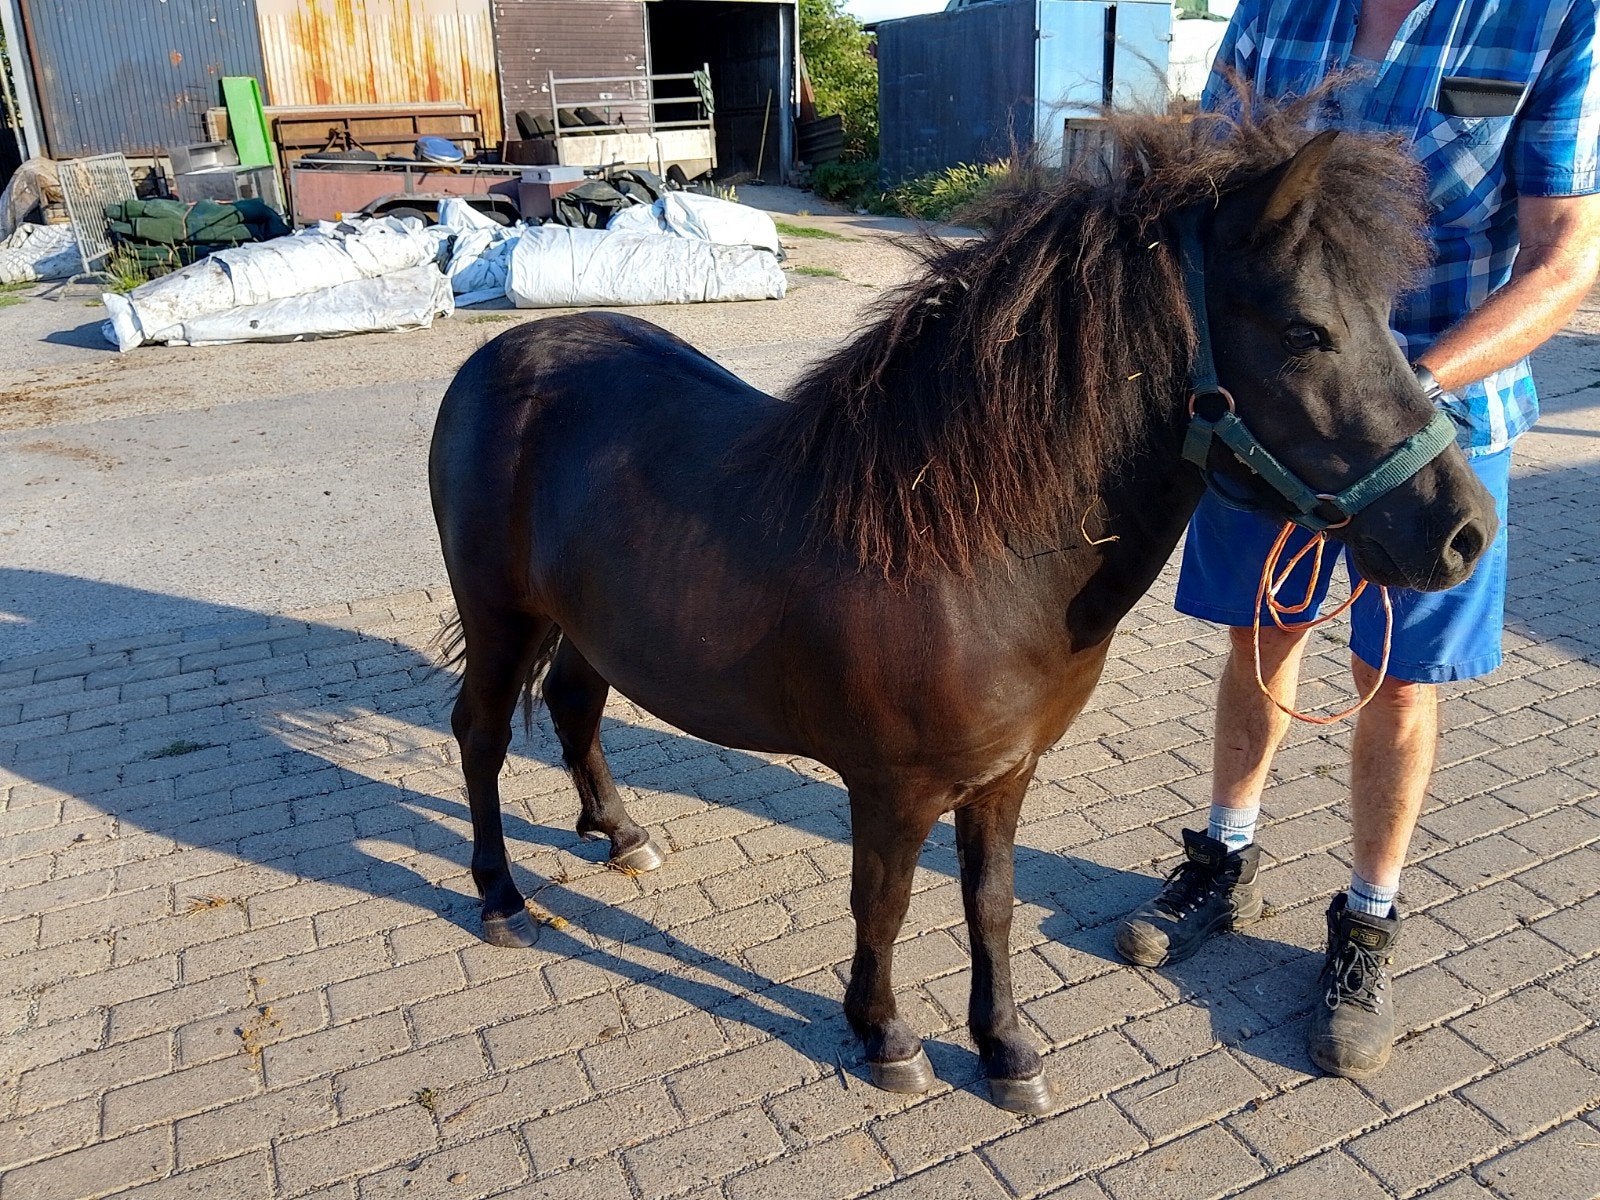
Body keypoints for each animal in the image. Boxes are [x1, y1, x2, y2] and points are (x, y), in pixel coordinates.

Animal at [429, 101, 1498, 1114]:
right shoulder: (891, 790)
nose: (1464, 532)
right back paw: (502, 898)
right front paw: (887, 1037)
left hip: (586, 625)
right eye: (1305, 331)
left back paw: (621, 833)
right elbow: (885, 906)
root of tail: (500, 356)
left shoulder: (1005, 776)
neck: (967, 552)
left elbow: (991, 905)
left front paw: (1006, 1049)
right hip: (500, 617)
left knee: (574, 704)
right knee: (481, 734)